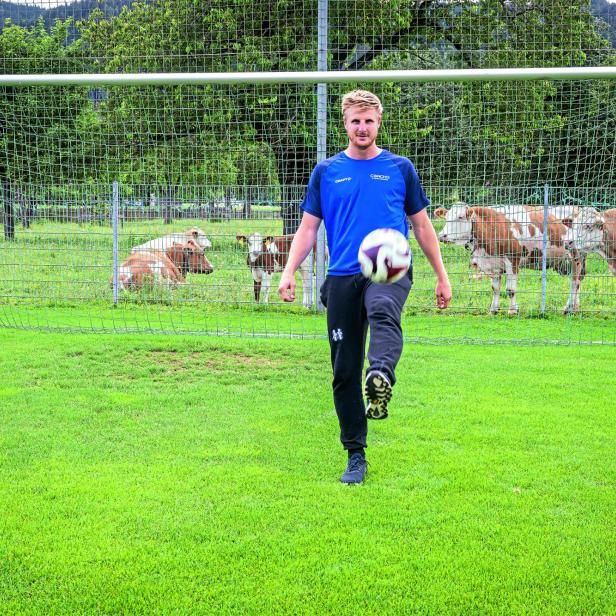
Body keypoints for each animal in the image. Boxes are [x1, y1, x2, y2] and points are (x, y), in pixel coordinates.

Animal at [436, 205, 584, 316]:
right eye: (446, 218)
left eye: (460, 217)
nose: (441, 235)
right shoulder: (493, 264)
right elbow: (495, 288)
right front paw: (494, 309)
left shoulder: (512, 260)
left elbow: (510, 289)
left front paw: (513, 310)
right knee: (576, 281)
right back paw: (575, 306)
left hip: (576, 257)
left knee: (575, 282)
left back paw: (569, 308)